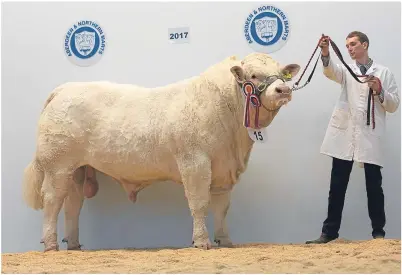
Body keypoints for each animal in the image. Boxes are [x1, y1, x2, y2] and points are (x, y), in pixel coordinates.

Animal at [22, 52, 298, 252]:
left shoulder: (223, 169)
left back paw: (74, 245)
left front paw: (226, 241)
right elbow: (199, 203)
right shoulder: (195, 162)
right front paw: (201, 242)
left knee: (72, 205)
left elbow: (221, 207)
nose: (283, 90)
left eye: (282, 74)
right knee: (52, 201)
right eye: (253, 75)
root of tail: (63, 89)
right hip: (58, 165)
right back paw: (51, 245)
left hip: (78, 169)